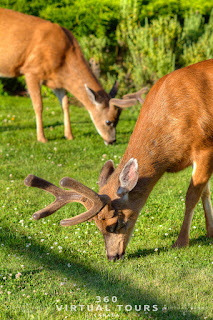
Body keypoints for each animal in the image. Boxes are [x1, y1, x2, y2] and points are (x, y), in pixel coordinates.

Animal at [0, 7, 143, 145]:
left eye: (118, 120)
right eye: (108, 121)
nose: (112, 141)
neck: (64, 56)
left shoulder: (57, 82)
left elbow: (65, 105)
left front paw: (69, 136)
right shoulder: (31, 71)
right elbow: (38, 105)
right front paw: (42, 138)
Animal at [24, 59, 213, 260]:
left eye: (114, 223)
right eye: (97, 225)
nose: (112, 256)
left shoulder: (204, 147)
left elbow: (191, 196)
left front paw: (181, 242)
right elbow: (205, 192)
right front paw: (210, 232)